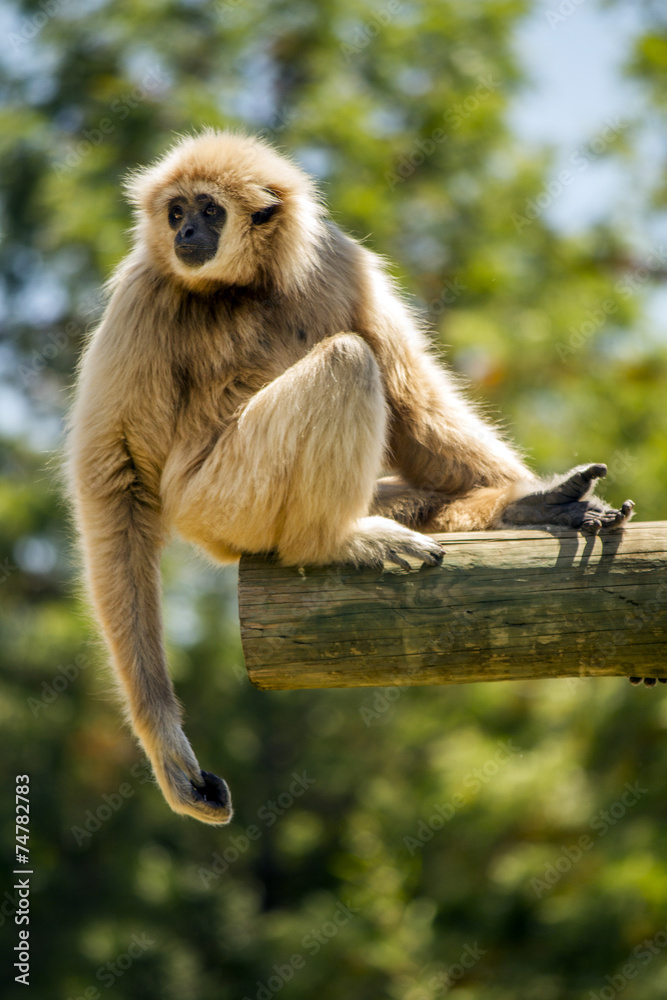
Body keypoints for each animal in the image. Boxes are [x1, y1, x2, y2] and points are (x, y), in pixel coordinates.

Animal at [67, 129, 635, 825]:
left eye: (207, 209)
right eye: (176, 213)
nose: (187, 233)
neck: (244, 285)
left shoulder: (337, 261)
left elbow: (414, 409)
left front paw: (537, 501)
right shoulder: (144, 286)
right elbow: (114, 477)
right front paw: (167, 744)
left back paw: (507, 509)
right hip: (218, 501)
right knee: (346, 359)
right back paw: (331, 541)